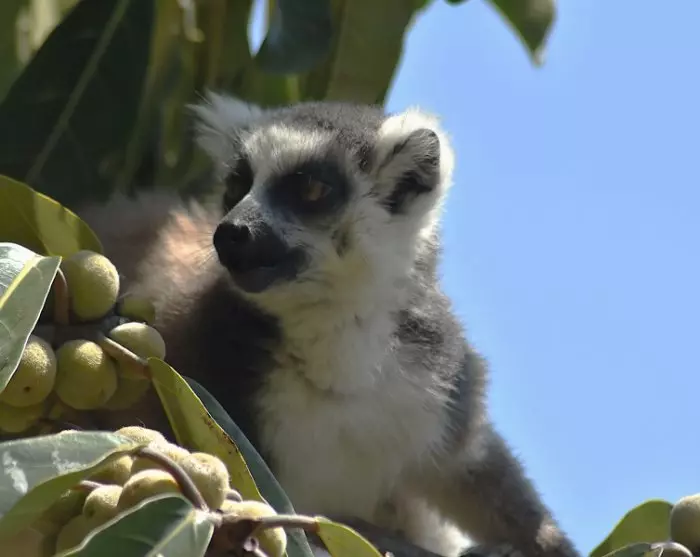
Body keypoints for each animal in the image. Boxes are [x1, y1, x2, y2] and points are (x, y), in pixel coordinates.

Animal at [76, 92, 580, 557]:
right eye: (238, 184)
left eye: (312, 190)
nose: (230, 232)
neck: (337, 336)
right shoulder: (206, 374)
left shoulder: (441, 377)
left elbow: (471, 465)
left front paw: (543, 542)